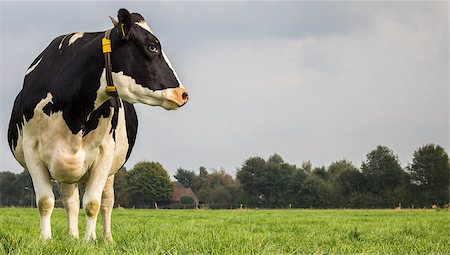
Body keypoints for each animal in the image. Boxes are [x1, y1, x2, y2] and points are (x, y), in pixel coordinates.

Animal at [7, 8, 186, 241]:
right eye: (152, 47)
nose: (183, 94)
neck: (73, 114)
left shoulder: (104, 152)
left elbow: (93, 203)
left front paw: (90, 241)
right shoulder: (32, 150)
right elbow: (45, 202)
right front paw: (46, 240)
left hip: (109, 171)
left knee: (107, 202)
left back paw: (106, 238)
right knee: (71, 202)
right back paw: (72, 237)